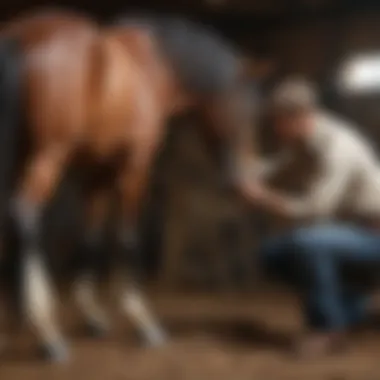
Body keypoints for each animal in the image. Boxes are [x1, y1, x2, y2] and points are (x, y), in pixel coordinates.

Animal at [0, 10, 258, 364]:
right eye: (247, 109)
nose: (240, 182)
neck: (156, 66)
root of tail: (21, 37)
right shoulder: (136, 168)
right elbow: (128, 238)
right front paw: (142, 321)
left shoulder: (94, 175)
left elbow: (91, 240)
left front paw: (92, 317)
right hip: (47, 156)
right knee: (24, 213)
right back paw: (47, 333)